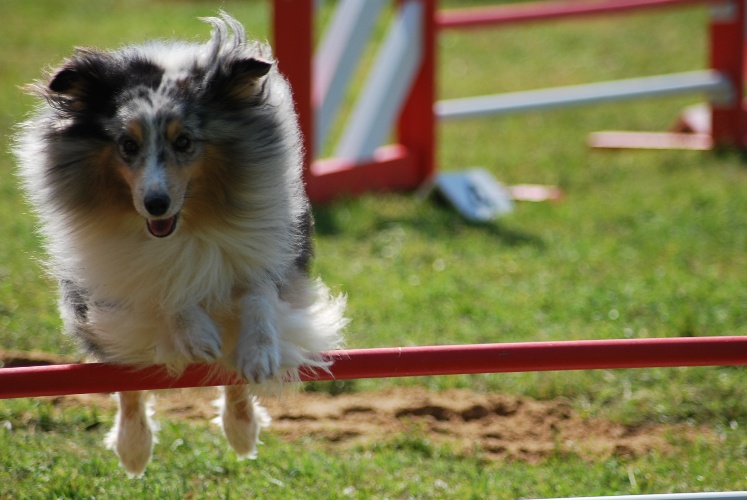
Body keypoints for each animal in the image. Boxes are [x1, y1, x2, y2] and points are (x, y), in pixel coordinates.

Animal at [13, 12, 348, 476]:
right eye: (127, 144)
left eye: (184, 141)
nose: (155, 203)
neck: (187, 225)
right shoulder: (120, 275)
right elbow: (165, 290)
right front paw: (197, 335)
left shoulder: (270, 253)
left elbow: (258, 298)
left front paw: (259, 355)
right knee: (128, 380)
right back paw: (133, 448)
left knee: (229, 375)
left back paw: (242, 430)